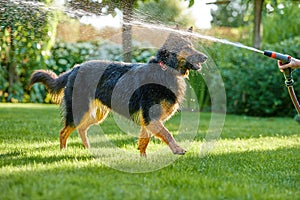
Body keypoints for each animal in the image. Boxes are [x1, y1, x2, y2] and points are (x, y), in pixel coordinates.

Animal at [31, 26, 209, 155]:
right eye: (187, 48)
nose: (205, 57)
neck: (165, 69)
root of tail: (75, 68)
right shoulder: (151, 117)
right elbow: (167, 134)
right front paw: (177, 149)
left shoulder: (149, 121)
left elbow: (144, 141)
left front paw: (143, 159)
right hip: (80, 110)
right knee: (64, 131)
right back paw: (63, 152)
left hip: (98, 114)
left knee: (82, 128)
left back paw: (88, 150)